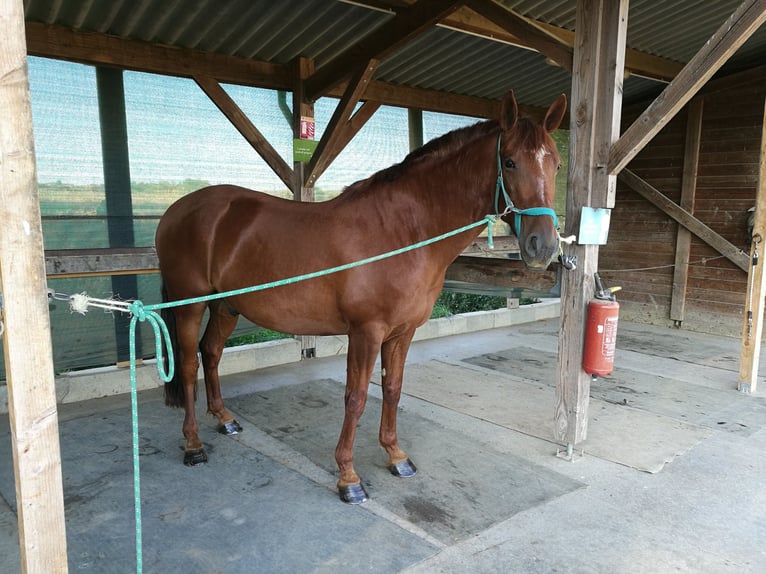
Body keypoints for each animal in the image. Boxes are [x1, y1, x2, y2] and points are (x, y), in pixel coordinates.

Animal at [155, 90, 567, 504]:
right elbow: (355, 398)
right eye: (509, 161)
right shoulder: (365, 332)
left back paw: (224, 419)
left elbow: (392, 389)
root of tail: (177, 209)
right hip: (190, 304)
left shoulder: (403, 332)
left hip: (226, 305)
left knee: (211, 353)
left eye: (557, 164)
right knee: (189, 365)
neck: (403, 231)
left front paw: (396, 455)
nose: (543, 245)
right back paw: (193, 444)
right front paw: (348, 477)